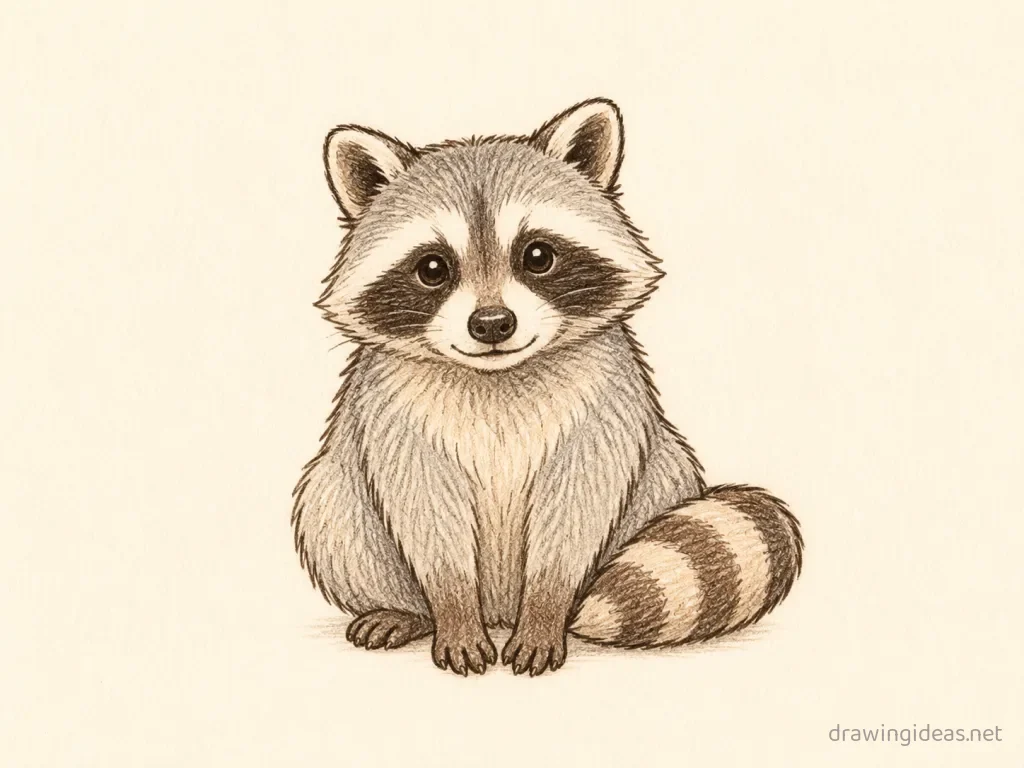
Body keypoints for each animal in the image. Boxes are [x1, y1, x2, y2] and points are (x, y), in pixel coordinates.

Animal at [292, 98, 804, 676]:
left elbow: (577, 509)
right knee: (331, 507)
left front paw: (544, 610)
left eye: (537, 256)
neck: (496, 377)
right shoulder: (393, 414)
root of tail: (499, 610)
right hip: (339, 510)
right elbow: (427, 516)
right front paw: (453, 610)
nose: (492, 324)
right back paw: (406, 610)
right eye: (432, 268)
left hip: (666, 480)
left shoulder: (605, 401)